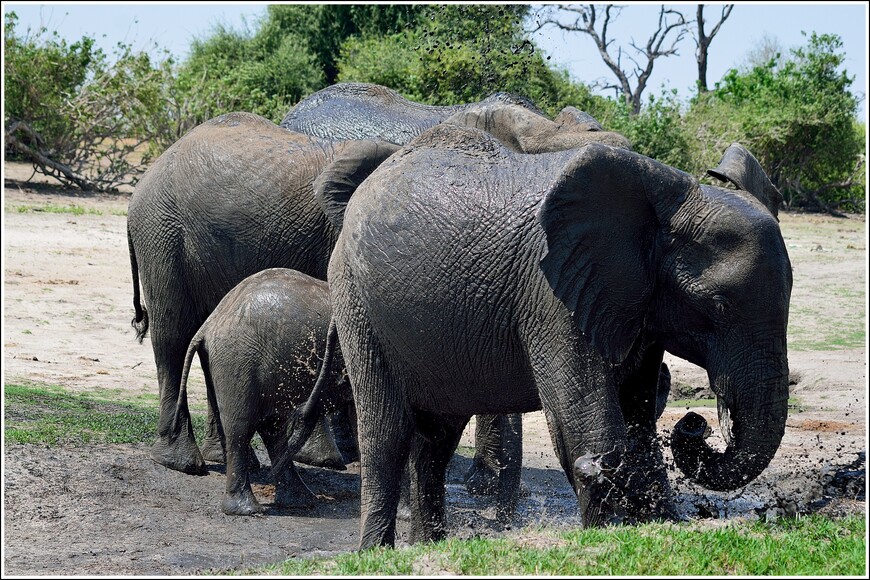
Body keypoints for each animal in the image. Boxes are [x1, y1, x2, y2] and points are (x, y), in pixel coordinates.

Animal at [172, 268, 352, 516]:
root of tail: (207, 325)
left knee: (272, 428)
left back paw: (299, 500)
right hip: (238, 361)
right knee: (241, 429)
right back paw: (248, 510)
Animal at [310, 124, 792, 552]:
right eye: (718, 305)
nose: (695, 423)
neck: (667, 203)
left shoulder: (635, 300)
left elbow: (637, 417)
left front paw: (660, 522)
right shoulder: (550, 294)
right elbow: (584, 417)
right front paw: (609, 531)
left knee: (437, 439)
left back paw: (428, 547)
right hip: (355, 298)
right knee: (387, 433)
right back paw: (375, 553)